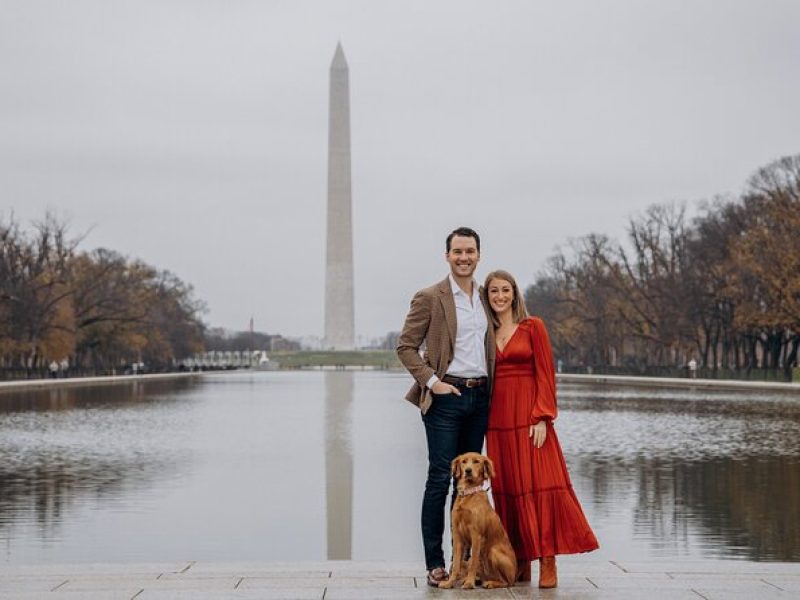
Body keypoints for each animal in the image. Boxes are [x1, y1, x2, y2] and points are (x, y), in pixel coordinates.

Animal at [440, 452, 516, 588]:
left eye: (476, 461)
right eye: (464, 462)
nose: (468, 471)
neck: (468, 494)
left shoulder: (476, 535)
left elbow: (474, 563)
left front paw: (469, 583)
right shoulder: (458, 536)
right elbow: (456, 564)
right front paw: (449, 583)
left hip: (493, 552)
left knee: (506, 582)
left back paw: (490, 583)